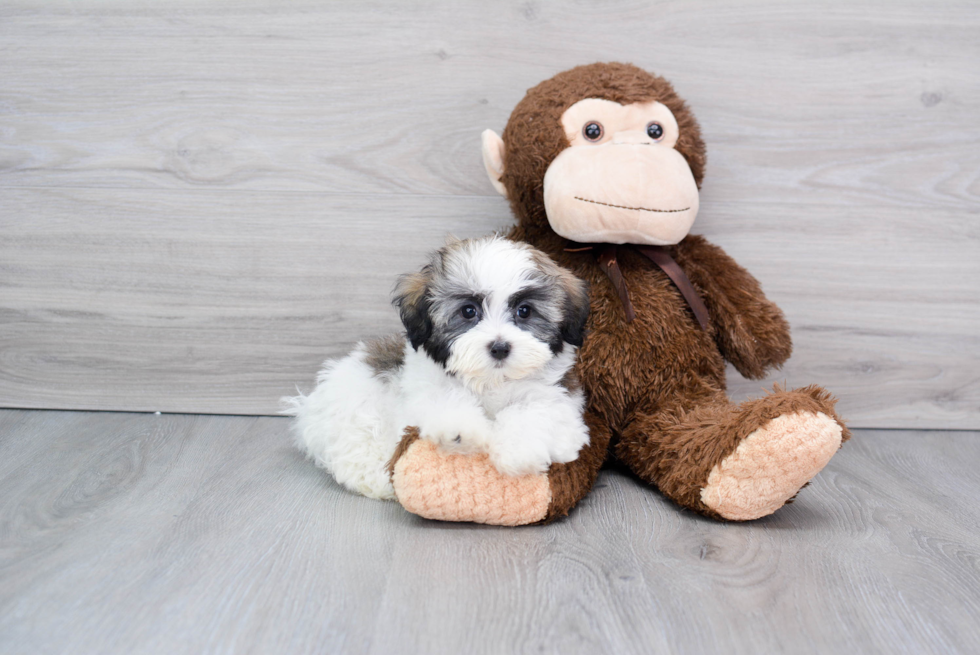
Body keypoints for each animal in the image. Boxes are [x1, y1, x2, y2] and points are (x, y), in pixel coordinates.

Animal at [280, 237, 592, 502]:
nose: (500, 347)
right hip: (356, 412)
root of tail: (309, 407)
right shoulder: (421, 391)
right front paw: (460, 430)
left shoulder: (559, 399)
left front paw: (519, 451)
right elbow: (442, 399)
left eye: (524, 311)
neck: (491, 382)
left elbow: (535, 411)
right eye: (468, 311)